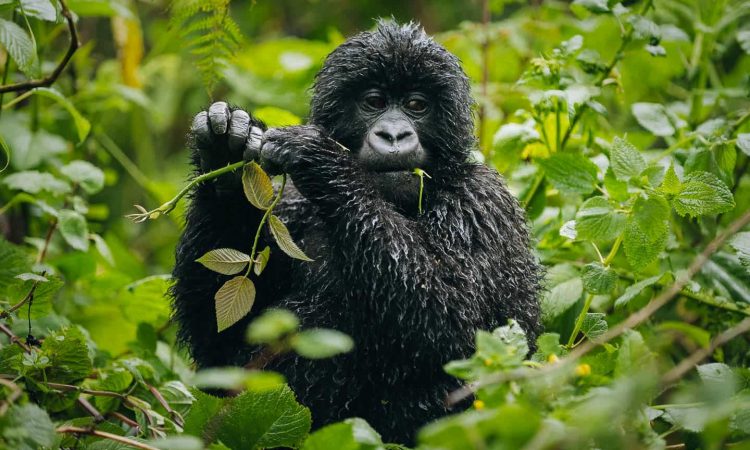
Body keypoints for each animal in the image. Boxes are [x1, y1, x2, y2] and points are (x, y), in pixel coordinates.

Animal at [173, 20, 544, 442]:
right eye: (374, 102)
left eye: (417, 105)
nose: (394, 135)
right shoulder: (290, 210)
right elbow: (218, 346)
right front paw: (225, 153)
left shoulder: (483, 203)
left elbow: (458, 326)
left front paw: (322, 158)